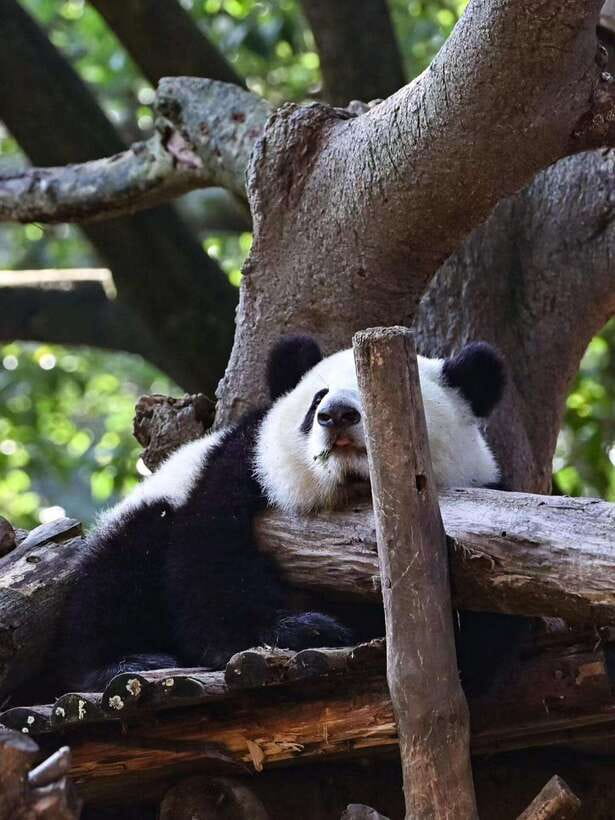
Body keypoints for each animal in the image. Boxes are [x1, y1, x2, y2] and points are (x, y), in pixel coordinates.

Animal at [51, 334, 507, 695]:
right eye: (318, 398)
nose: (335, 415)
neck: (351, 494)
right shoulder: (241, 468)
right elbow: (208, 571)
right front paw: (308, 628)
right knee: (117, 576)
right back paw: (130, 661)